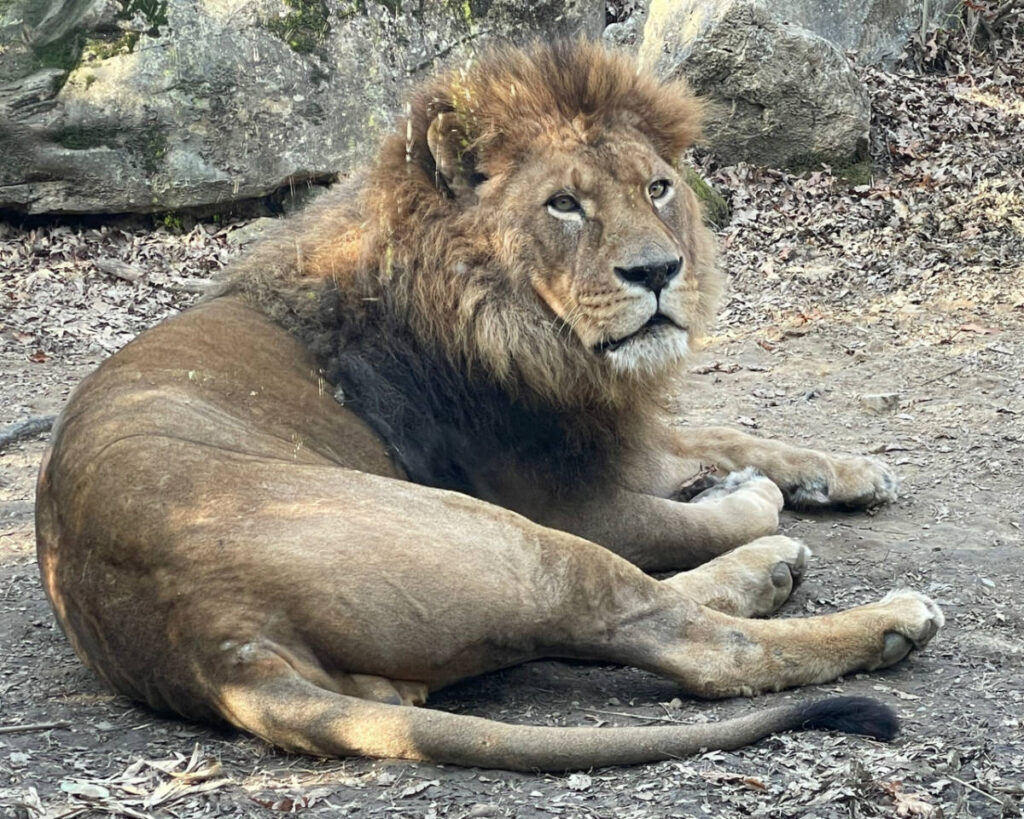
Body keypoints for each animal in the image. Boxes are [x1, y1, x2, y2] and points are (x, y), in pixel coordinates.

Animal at [36, 41, 942, 771]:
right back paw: (865, 605)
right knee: (689, 639)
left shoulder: (601, 429)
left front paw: (848, 470)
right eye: (564, 204)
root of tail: (216, 641)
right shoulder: (567, 498)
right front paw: (753, 496)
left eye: (657, 188)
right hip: (506, 538)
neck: (533, 333)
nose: (660, 271)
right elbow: (687, 517)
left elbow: (726, 430)